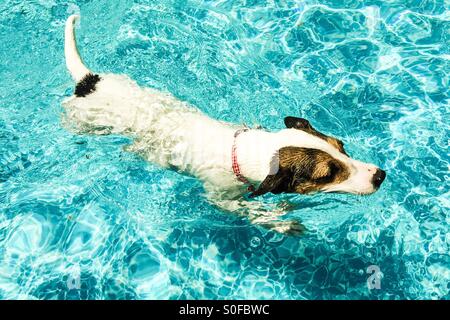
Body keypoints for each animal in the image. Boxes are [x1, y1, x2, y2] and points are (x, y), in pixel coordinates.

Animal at [62, 15, 386, 235]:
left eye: (341, 146)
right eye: (327, 174)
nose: (380, 175)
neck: (241, 149)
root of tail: (89, 81)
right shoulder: (220, 198)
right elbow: (249, 210)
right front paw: (279, 222)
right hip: (81, 121)